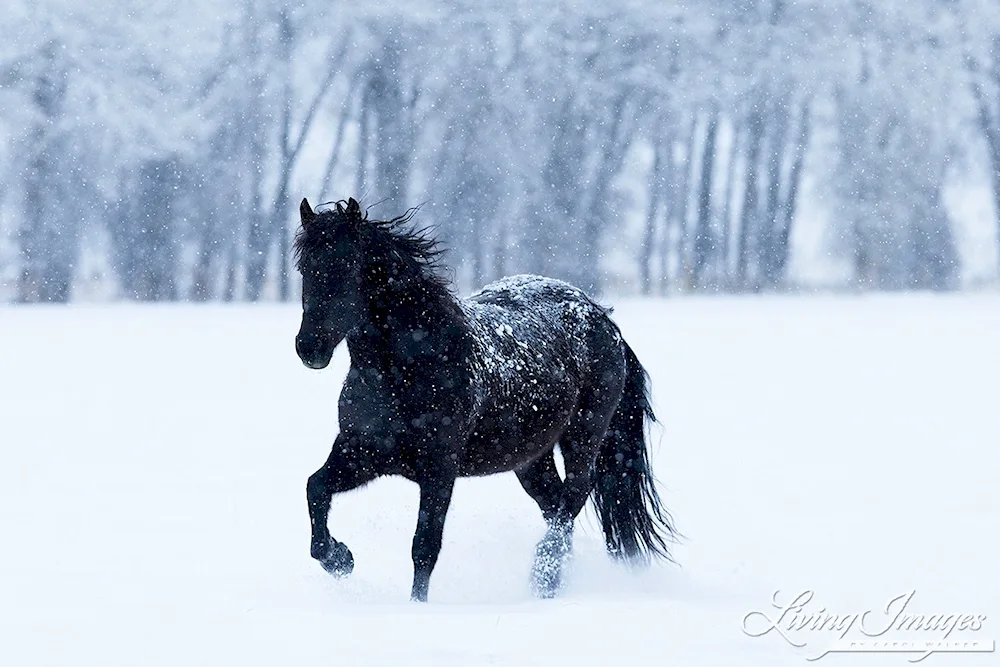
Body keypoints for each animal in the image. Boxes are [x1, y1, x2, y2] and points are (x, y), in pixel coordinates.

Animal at [292, 197, 676, 600]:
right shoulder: (361, 452)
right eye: (305, 268)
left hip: (583, 437)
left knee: (572, 498)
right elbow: (316, 488)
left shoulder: (439, 470)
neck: (411, 367)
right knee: (556, 507)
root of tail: (603, 319)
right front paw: (341, 559)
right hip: (531, 459)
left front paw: (415, 604)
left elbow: (424, 547)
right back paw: (550, 584)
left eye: (347, 267)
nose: (310, 348)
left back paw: (543, 577)